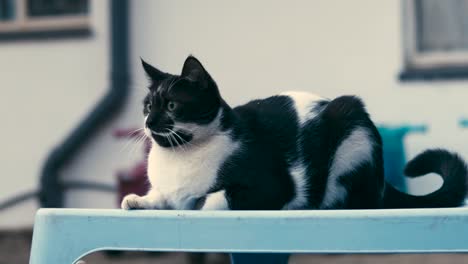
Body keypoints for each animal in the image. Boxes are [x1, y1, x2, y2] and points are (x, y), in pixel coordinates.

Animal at [121, 56, 468, 211]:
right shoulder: (167, 190)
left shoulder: (271, 186)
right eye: (147, 105)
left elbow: (214, 196)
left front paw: (195, 202)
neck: (180, 157)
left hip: (352, 124)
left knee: (359, 198)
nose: (150, 122)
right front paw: (138, 200)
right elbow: (160, 197)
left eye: (172, 105)